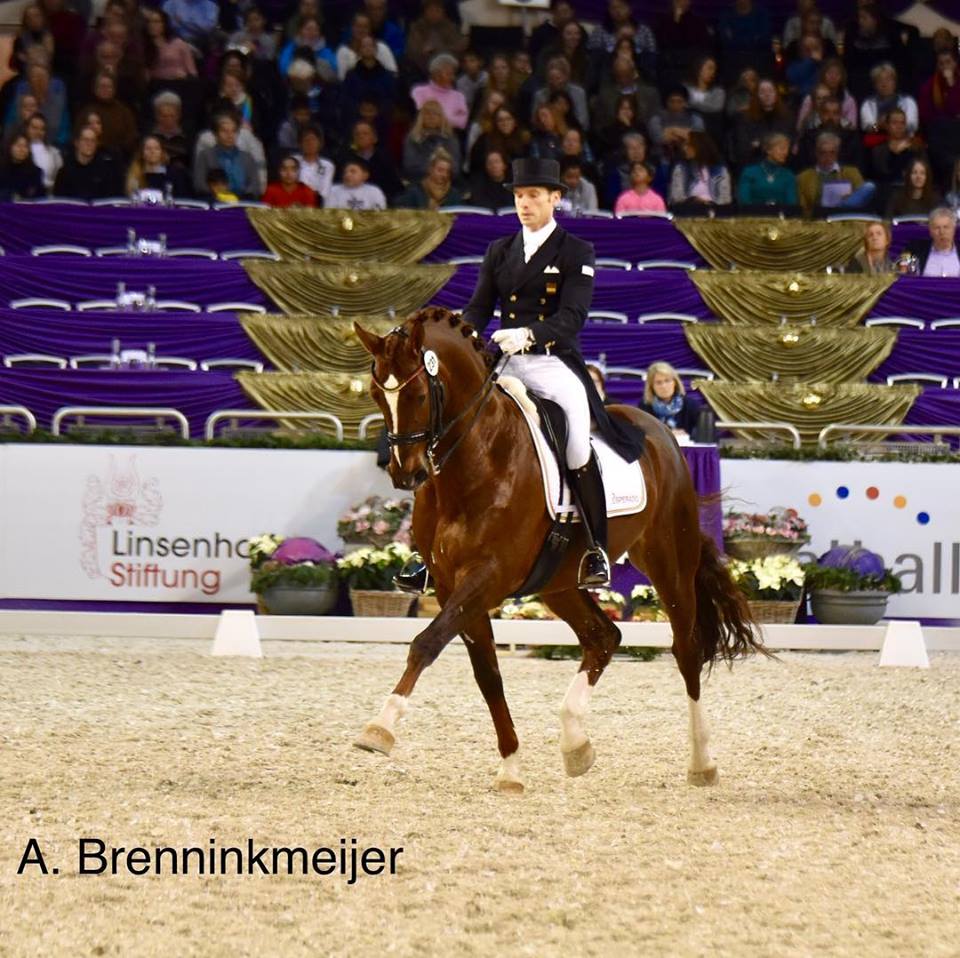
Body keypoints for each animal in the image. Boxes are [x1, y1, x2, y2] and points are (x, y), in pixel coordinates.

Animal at [354, 310, 764, 796]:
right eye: (376, 394)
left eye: (417, 393)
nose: (406, 474)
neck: (477, 459)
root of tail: (660, 431)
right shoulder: (455, 586)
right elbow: (487, 674)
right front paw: (511, 769)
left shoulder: (488, 577)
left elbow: (426, 642)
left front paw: (380, 728)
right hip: (559, 582)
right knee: (604, 637)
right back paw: (575, 744)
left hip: (669, 561)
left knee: (687, 649)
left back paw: (702, 763)